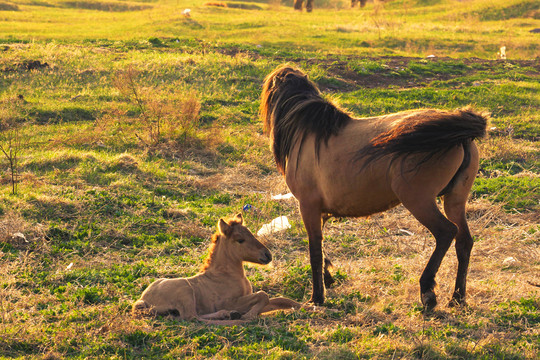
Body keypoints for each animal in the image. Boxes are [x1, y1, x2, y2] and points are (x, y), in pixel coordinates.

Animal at [133, 212, 302, 322]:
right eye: (240, 240)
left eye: (251, 234)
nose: (268, 255)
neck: (227, 275)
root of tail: (144, 299)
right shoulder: (229, 301)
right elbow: (263, 295)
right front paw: (249, 315)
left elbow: (278, 300)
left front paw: (301, 306)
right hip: (186, 290)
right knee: (192, 317)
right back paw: (230, 317)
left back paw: (229, 315)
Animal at [262, 65, 490, 310]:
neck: (309, 134)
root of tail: (459, 134)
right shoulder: (321, 211)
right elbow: (321, 249)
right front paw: (328, 278)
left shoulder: (308, 206)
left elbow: (314, 250)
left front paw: (317, 297)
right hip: (454, 200)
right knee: (464, 241)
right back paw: (457, 297)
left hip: (419, 201)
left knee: (446, 232)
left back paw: (427, 290)